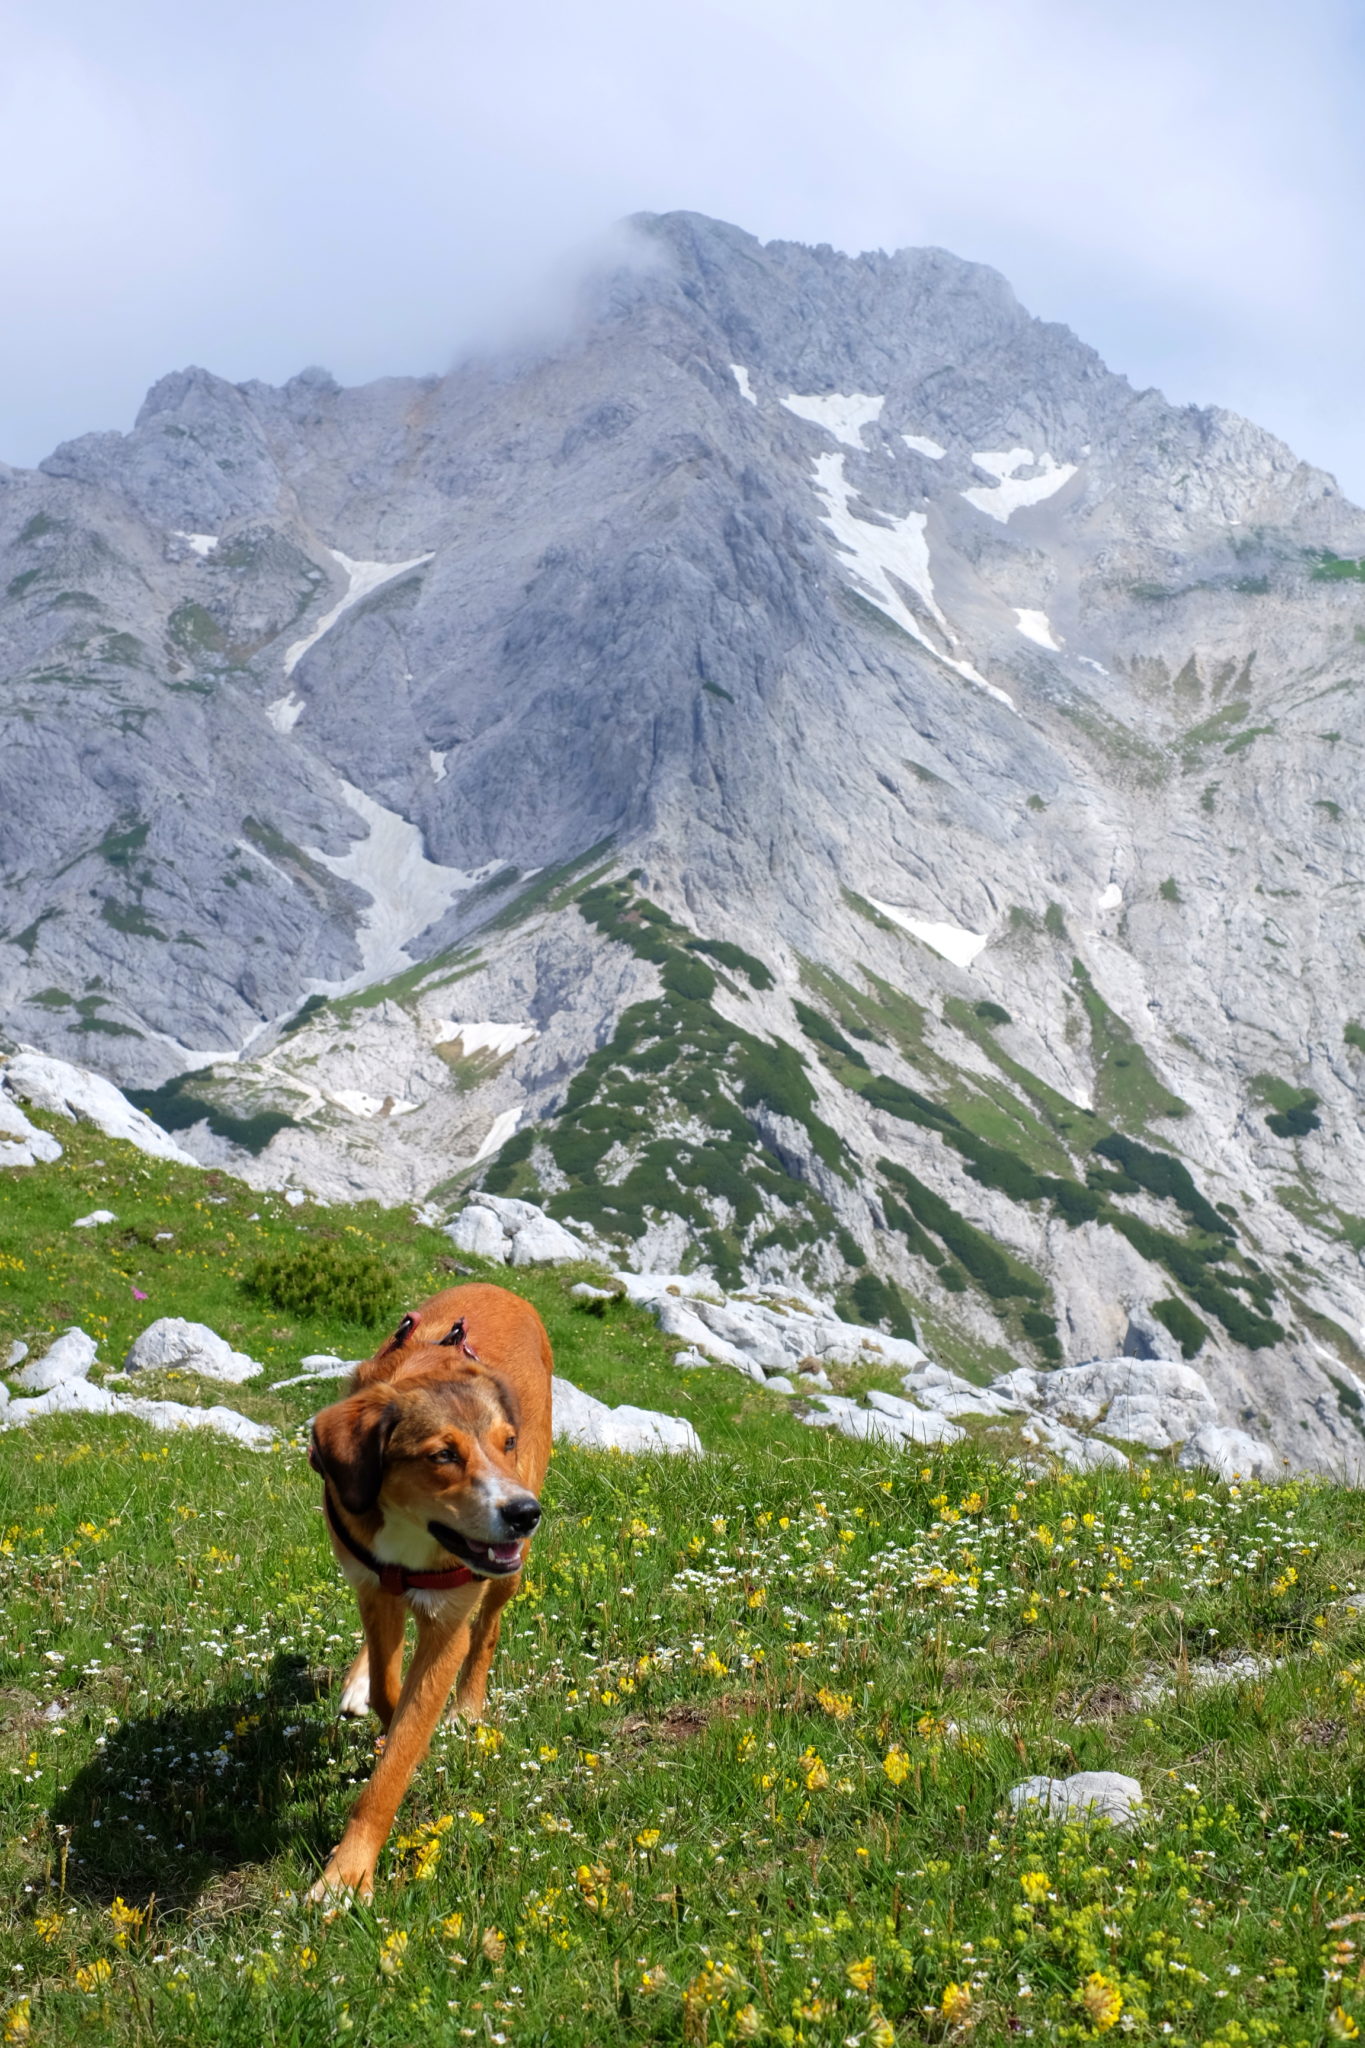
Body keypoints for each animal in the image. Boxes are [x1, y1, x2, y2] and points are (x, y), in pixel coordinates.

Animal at [306, 1286, 552, 1892]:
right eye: (443, 1455)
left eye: (507, 1443)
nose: (525, 1514)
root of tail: (503, 1288)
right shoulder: (374, 1584)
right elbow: (387, 1690)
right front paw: (383, 1705)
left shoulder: (448, 1628)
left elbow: (396, 1759)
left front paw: (346, 1877)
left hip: (510, 1572)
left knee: (488, 1632)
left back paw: (466, 1709)